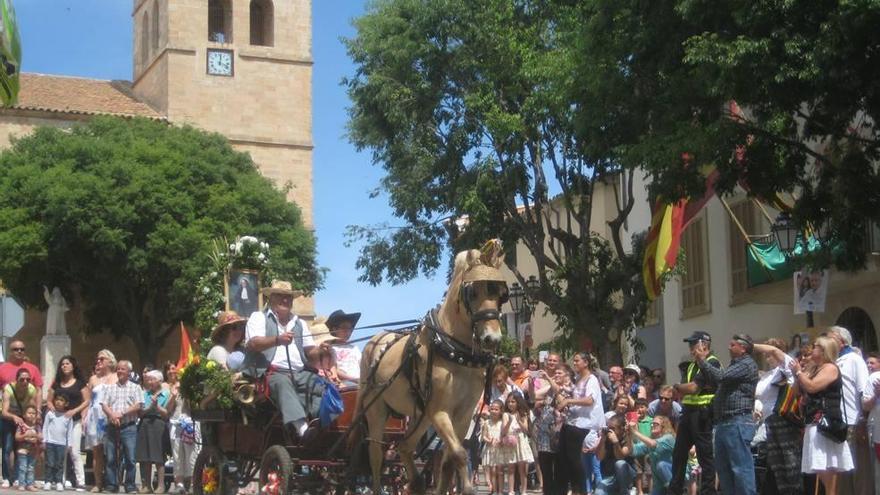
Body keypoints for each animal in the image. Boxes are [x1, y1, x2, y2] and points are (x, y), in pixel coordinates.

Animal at [350, 243, 508, 495]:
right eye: (473, 292)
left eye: (501, 295)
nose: (491, 338)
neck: (453, 350)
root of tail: (376, 341)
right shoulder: (440, 410)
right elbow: (459, 454)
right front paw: (467, 488)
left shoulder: (463, 414)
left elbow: (448, 460)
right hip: (377, 410)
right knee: (375, 455)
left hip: (420, 415)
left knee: (404, 446)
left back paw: (416, 482)